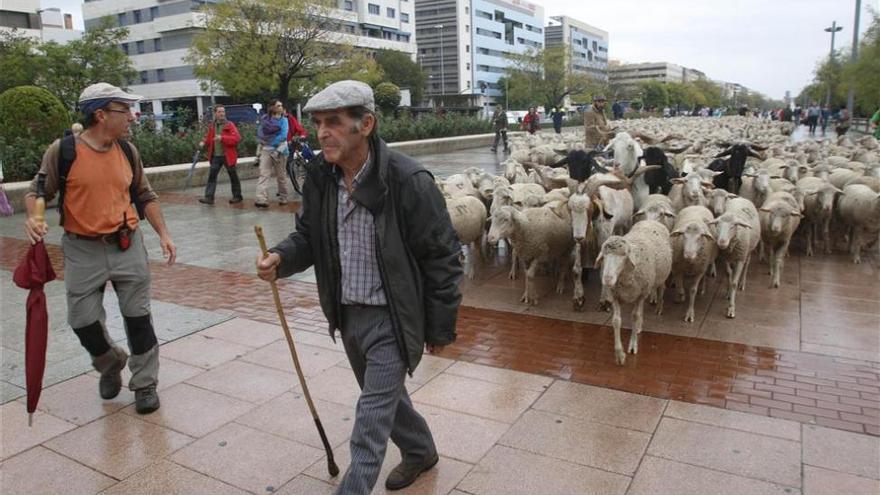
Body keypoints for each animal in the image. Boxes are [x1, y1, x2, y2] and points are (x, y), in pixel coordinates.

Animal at [596, 221, 672, 364]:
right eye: (604, 256)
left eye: (623, 255)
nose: (607, 279)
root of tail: (651, 221)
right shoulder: (615, 296)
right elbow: (616, 321)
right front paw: (619, 354)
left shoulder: (641, 295)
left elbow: (634, 317)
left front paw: (632, 346)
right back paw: (638, 328)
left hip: (658, 279)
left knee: (662, 288)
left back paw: (659, 307)